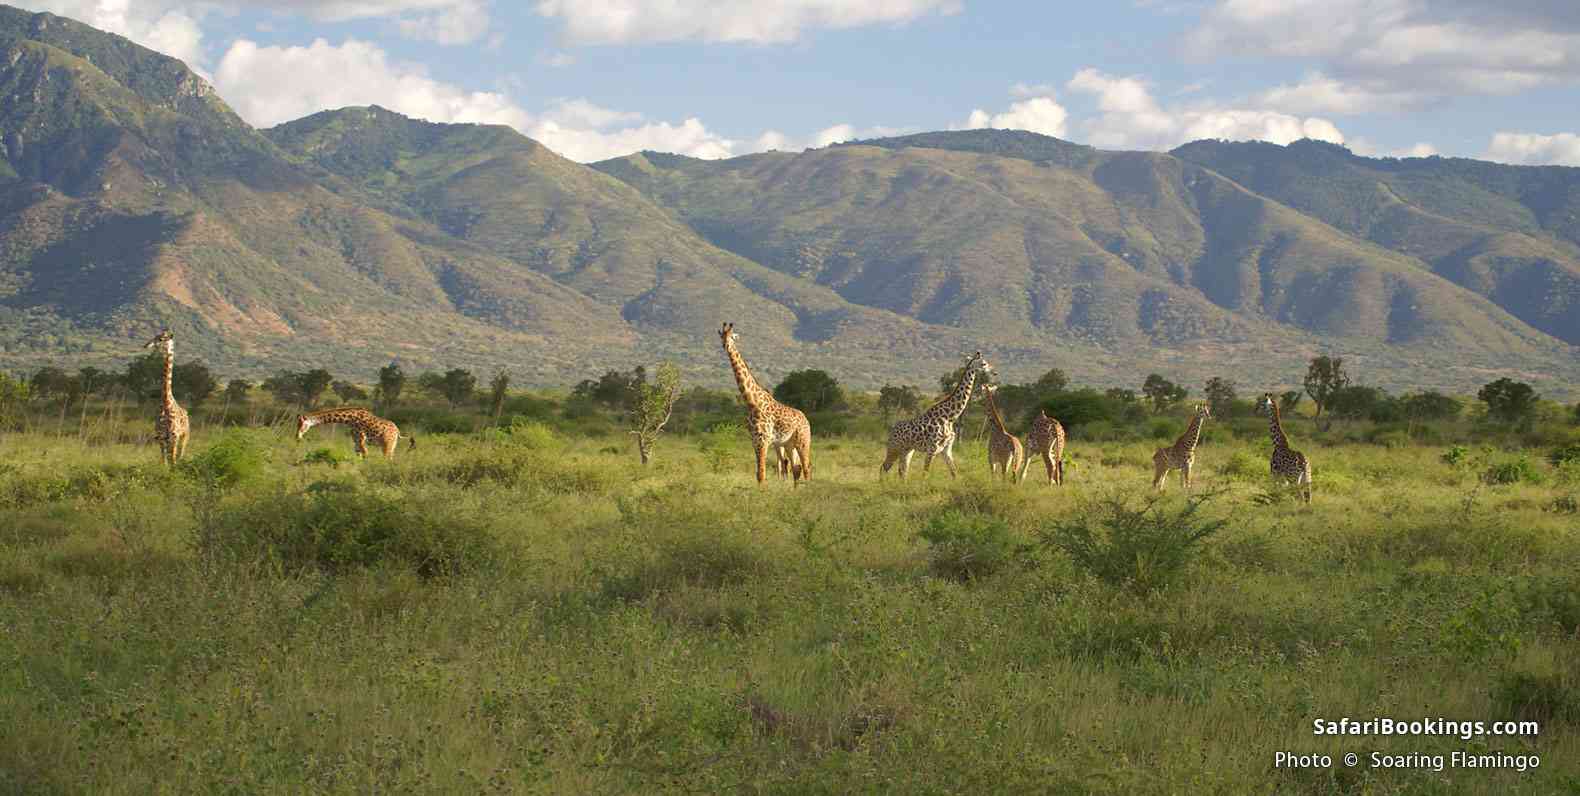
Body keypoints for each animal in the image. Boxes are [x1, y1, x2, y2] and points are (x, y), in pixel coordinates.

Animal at [142, 330, 188, 467]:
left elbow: (172, 462)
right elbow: (164, 462)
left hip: (184, 436)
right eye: (154, 337)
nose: (146, 345)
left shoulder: (174, 436)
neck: (166, 403)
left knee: (180, 455)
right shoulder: (161, 437)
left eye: (161, 339)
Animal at [720, 322, 815, 486]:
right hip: (788, 444)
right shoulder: (754, 440)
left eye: (732, 337)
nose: (726, 346)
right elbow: (759, 474)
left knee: (806, 468)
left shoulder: (763, 439)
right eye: (722, 336)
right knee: (796, 468)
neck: (752, 402)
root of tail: (806, 419)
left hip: (803, 441)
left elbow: (762, 474)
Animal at [878, 352, 985, 480]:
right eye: (984, 364)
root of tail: (892, 429)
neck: (950, 417)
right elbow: (925, 473)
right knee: (884, 467)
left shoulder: (946, 449)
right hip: (894, 447)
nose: (995, 373)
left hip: (907, 450)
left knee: (902, 471)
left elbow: (954, 472)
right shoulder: (932, 449)